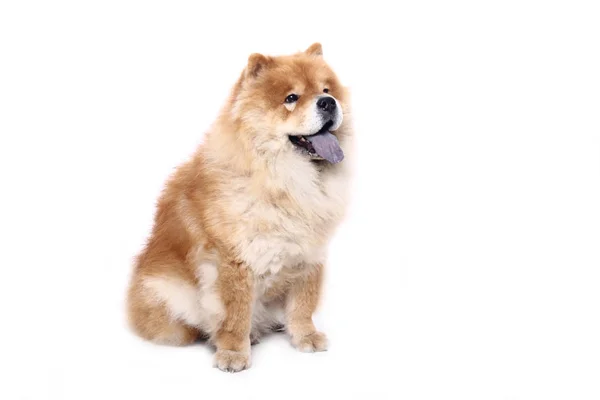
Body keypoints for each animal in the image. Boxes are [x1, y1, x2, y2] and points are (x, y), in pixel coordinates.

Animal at [125, 43, 352, 372]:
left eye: (326, 90)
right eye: (291, 98)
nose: (328, 103)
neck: (286, 182)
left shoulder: (309, 254)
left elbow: (303, 303)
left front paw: (306, 337)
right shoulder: (234, 260)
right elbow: (235, 312)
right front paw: (233, 353)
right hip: (166, 293)